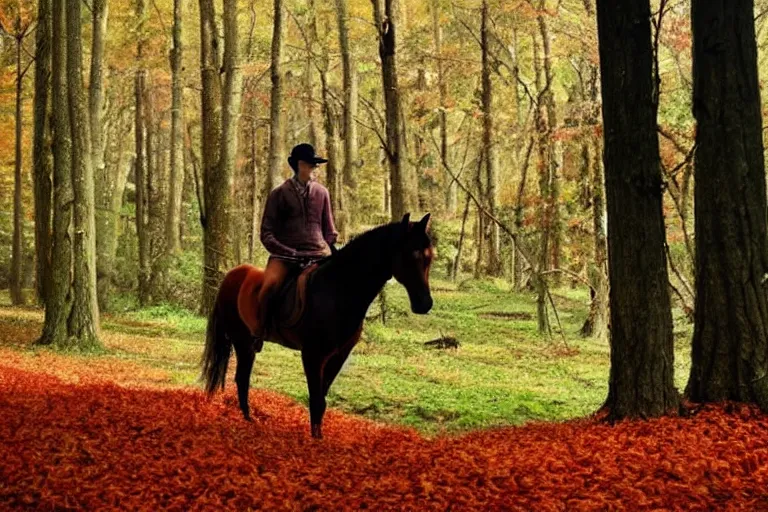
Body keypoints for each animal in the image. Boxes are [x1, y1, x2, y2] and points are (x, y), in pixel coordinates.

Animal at [201, 214, 436, 438]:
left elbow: (321, 400)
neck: (339, 289)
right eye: (410, 256)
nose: (424, 304)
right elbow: (316, 401)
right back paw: (248, 420)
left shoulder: (338, 356)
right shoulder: (312, 355)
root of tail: (232, 275)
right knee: (242, 378)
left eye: (429, 257)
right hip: (242, 342)